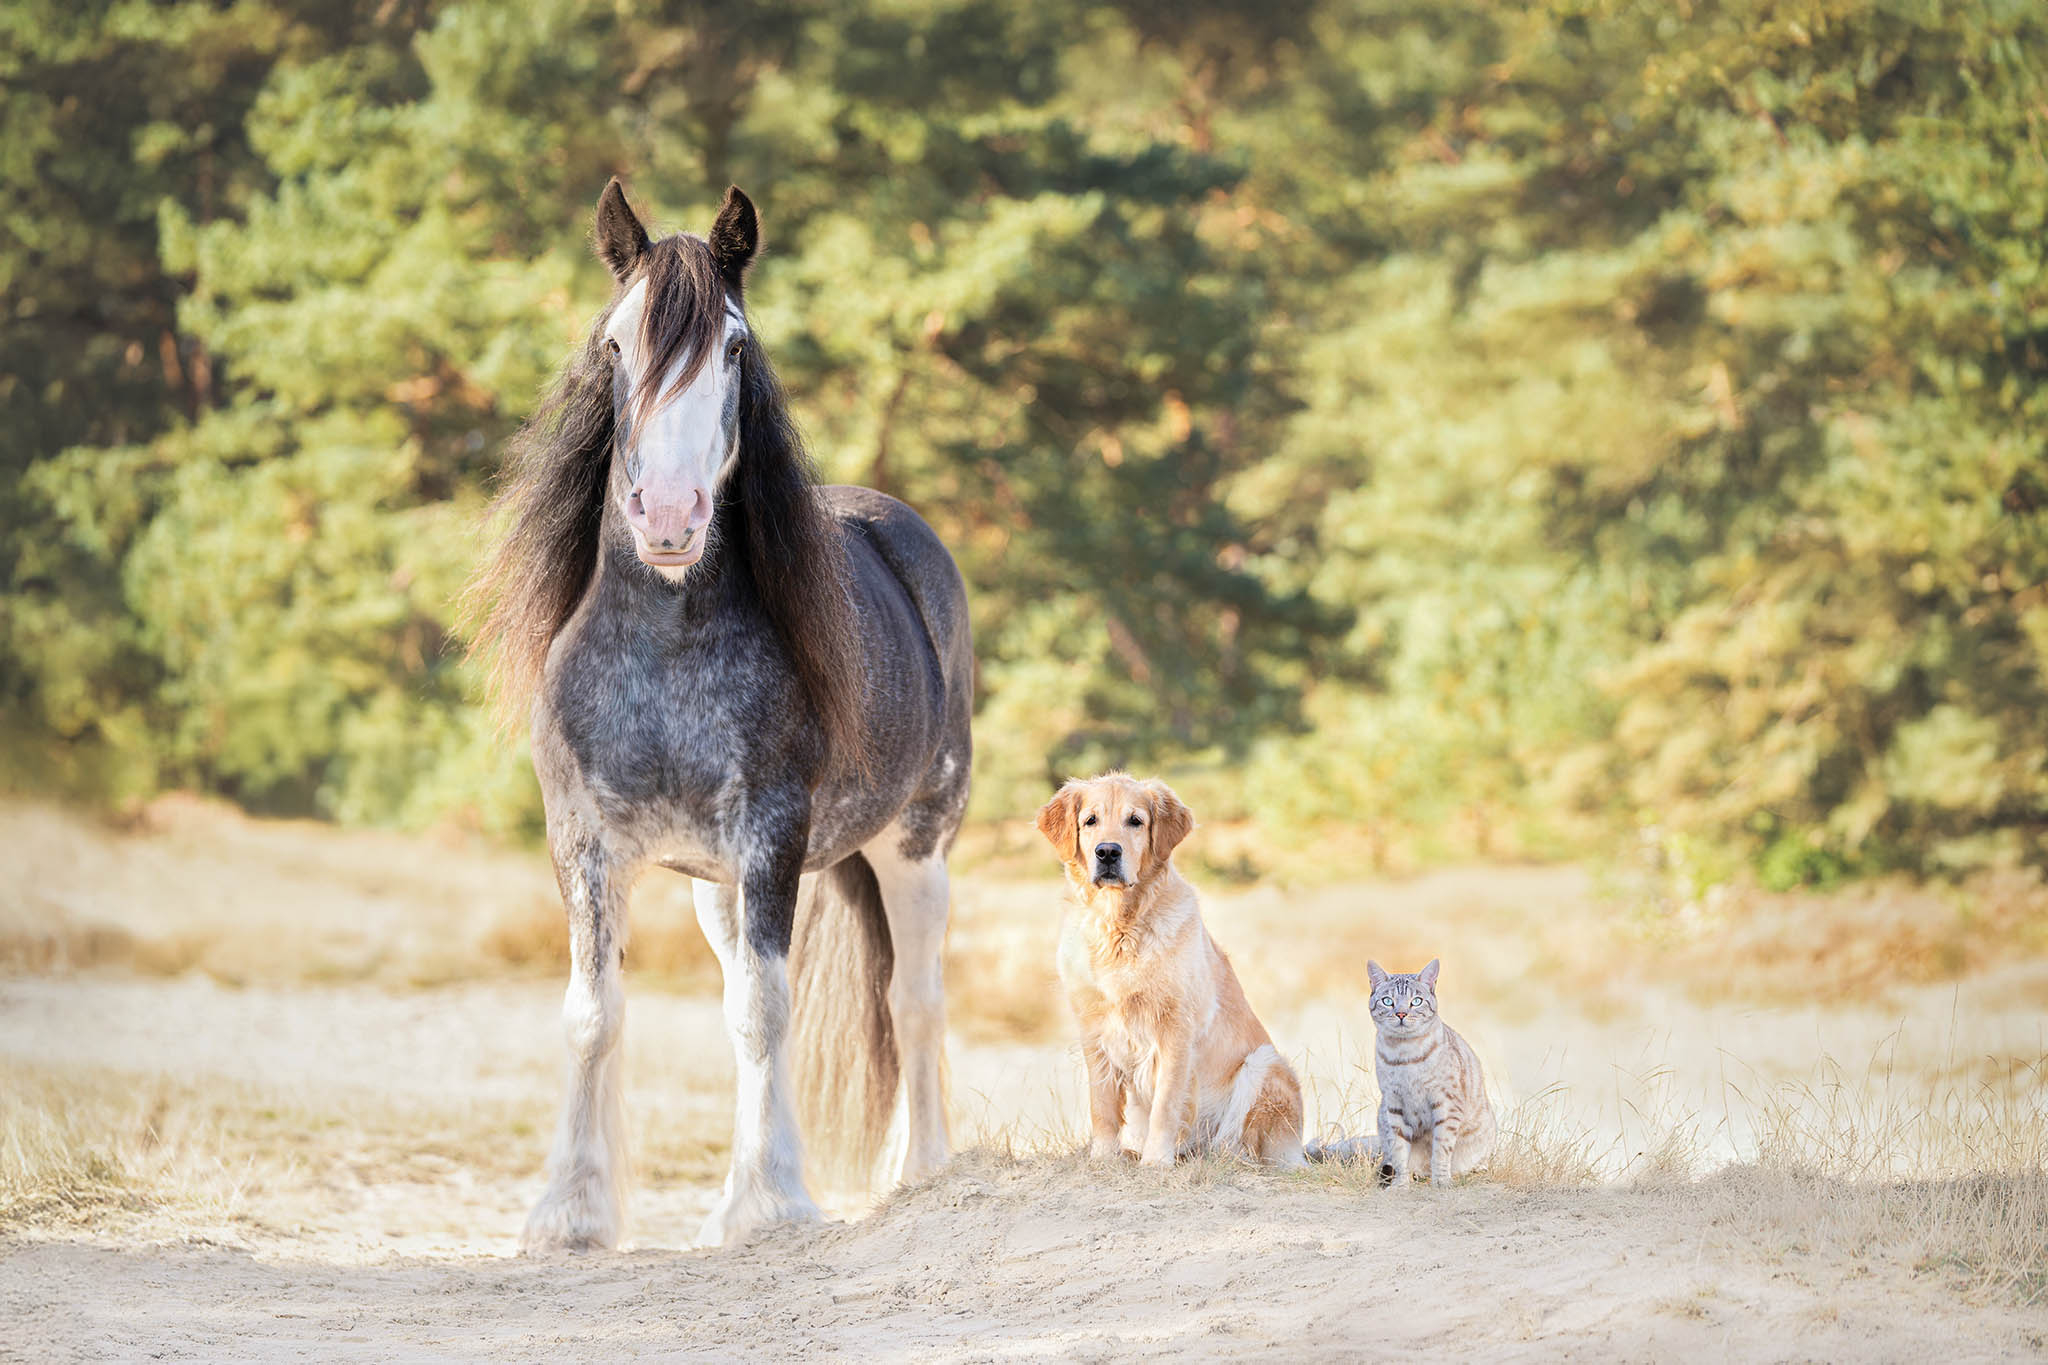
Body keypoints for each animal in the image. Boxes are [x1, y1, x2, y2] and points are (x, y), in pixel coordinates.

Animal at [468, 179, 970, 1252]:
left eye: (733, 346)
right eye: (617, 343)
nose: (668, 516)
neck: (663, 653)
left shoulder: (771, 837)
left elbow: (767, 1014)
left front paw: (770, 1203)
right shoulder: (584, 841)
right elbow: (595, 1012)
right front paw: (572, 1212)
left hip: (917, 848)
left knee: (913, 1000)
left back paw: (924, 1172)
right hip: (715, 892)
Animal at [1032, 773, 1302, 1170]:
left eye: (1135, 821)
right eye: (1090, 821)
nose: (1107, 852)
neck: (1120, 926)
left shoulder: (1176, 1029)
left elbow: (1166, 1103)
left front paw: (1157, 1160)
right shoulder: (1093, 1029)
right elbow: (1102, 1106)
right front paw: (1104, 1156)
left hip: (1264, 1064)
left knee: (1234, 1146)